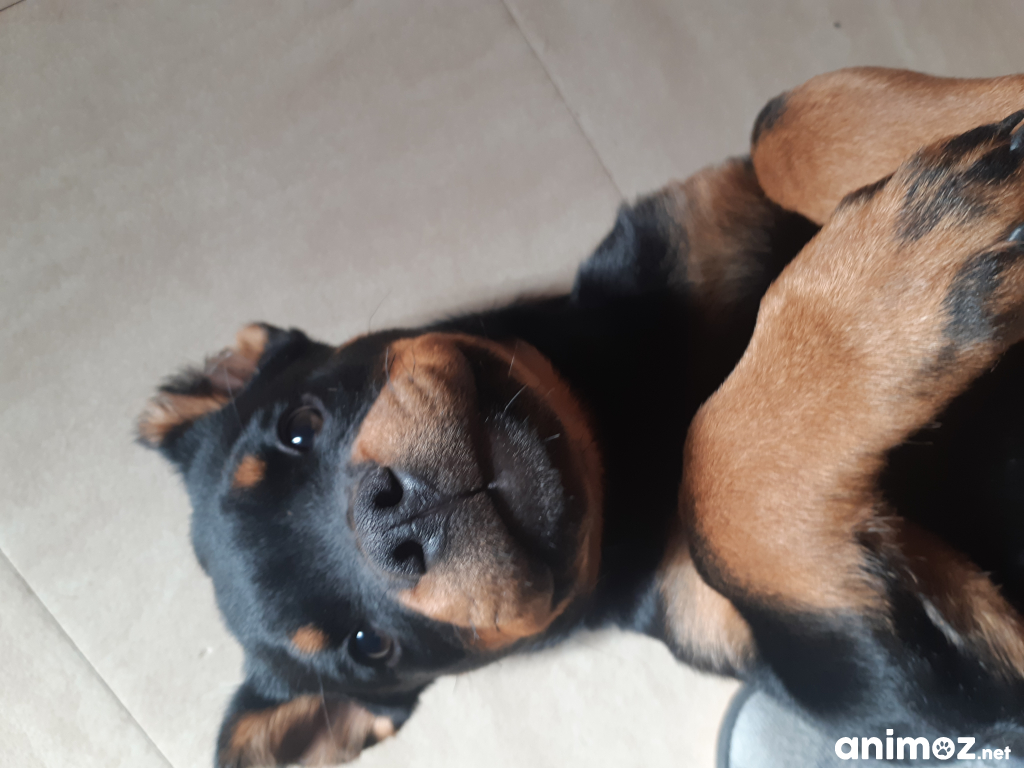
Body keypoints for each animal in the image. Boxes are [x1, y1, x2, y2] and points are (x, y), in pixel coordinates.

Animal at [139, 68, 1024, 766]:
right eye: (369, 646)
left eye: (299, 425)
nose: (392, 524)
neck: (618, 428)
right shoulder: (911, 698)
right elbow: (715, 477)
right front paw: (888, 296)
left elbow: (784, 120)